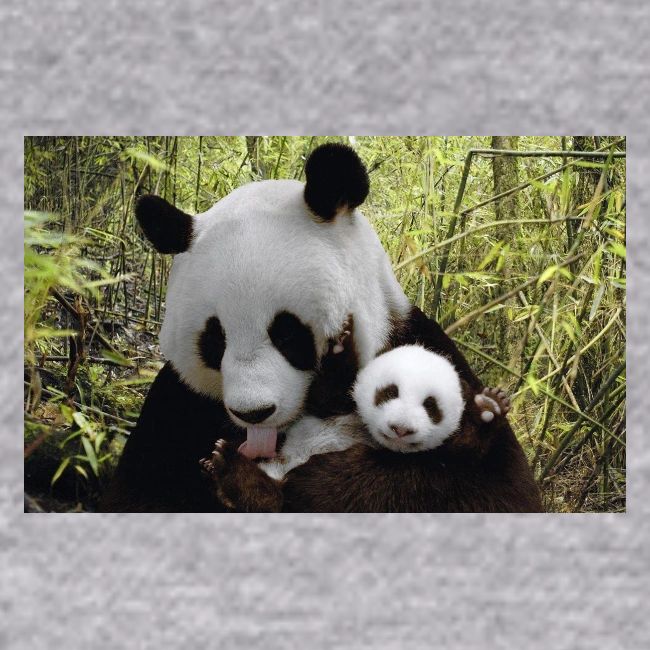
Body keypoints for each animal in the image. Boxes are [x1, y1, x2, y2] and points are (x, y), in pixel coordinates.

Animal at [100, 143, 541, 513]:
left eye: (287, 333)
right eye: (215, 340)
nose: (254, 413)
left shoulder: (422, 347)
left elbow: (490, 489)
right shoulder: (179, 404)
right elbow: (140, 492)